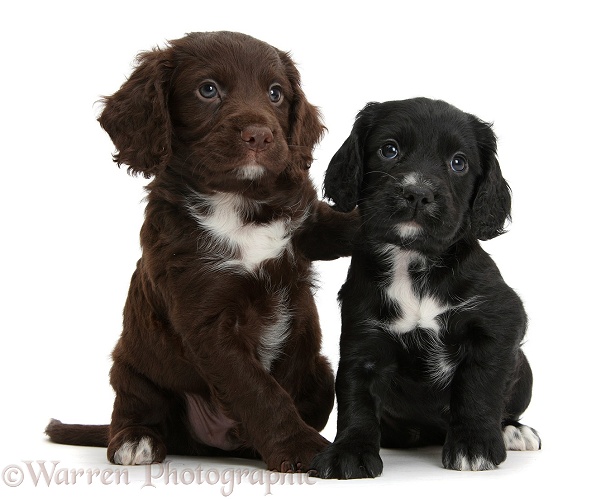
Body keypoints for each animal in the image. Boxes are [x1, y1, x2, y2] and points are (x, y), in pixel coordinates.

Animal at [47, 31, 356, 472]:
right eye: (207, 90)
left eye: (276, 94)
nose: (260, 136)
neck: (237, 201)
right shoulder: (206, 318)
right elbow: (257, 388)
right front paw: (301, 446)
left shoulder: (307, 224)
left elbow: (341, 223)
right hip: (132, 367)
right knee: (132, 408)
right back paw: (135, 440)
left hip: (319, 373)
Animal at [316, 96, 540, 476]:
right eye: (389, 149)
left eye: (458, 163)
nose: (417, 193)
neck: (414, 263)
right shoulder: (363, 337)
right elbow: (355, 397)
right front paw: (350, 451)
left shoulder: (498, 325)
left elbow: (479, 387)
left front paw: (474, 446)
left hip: (523, 368)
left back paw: (513, 431)